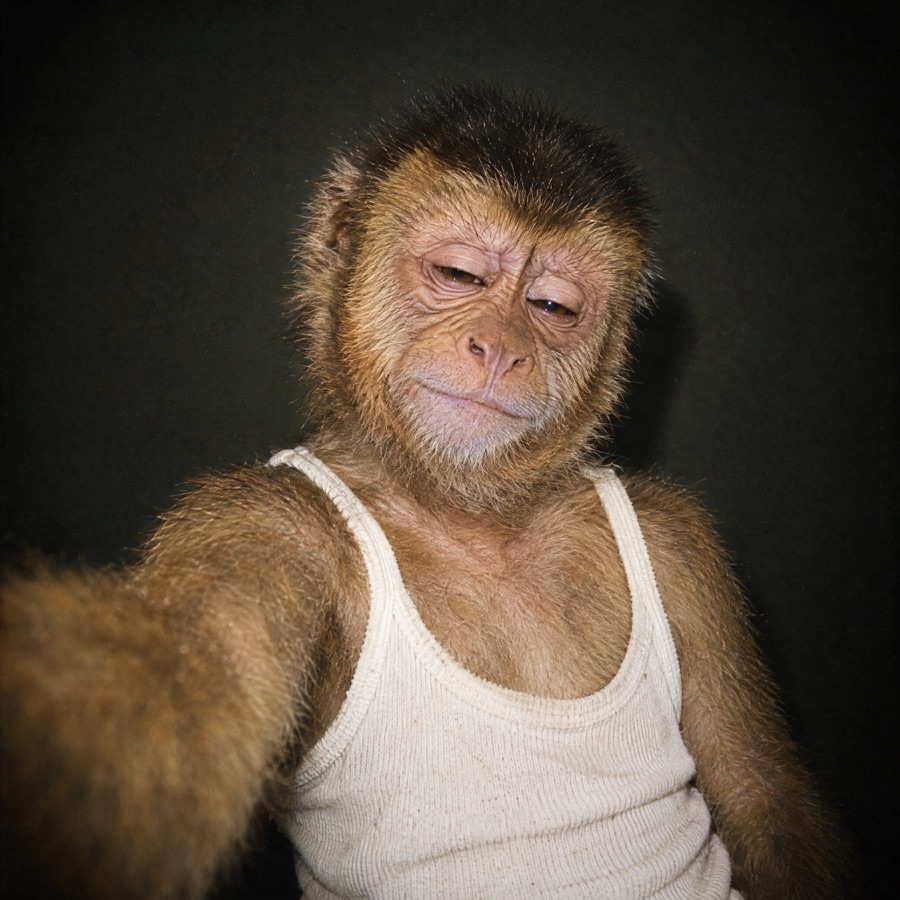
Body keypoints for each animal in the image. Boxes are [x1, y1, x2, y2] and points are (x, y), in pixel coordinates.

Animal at [1, 85, 851, 899]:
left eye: (552, 307)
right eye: (460, 276)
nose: (500, 349)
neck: (465, 509)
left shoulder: (678, 536)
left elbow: (759, 790)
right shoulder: (259, 518)